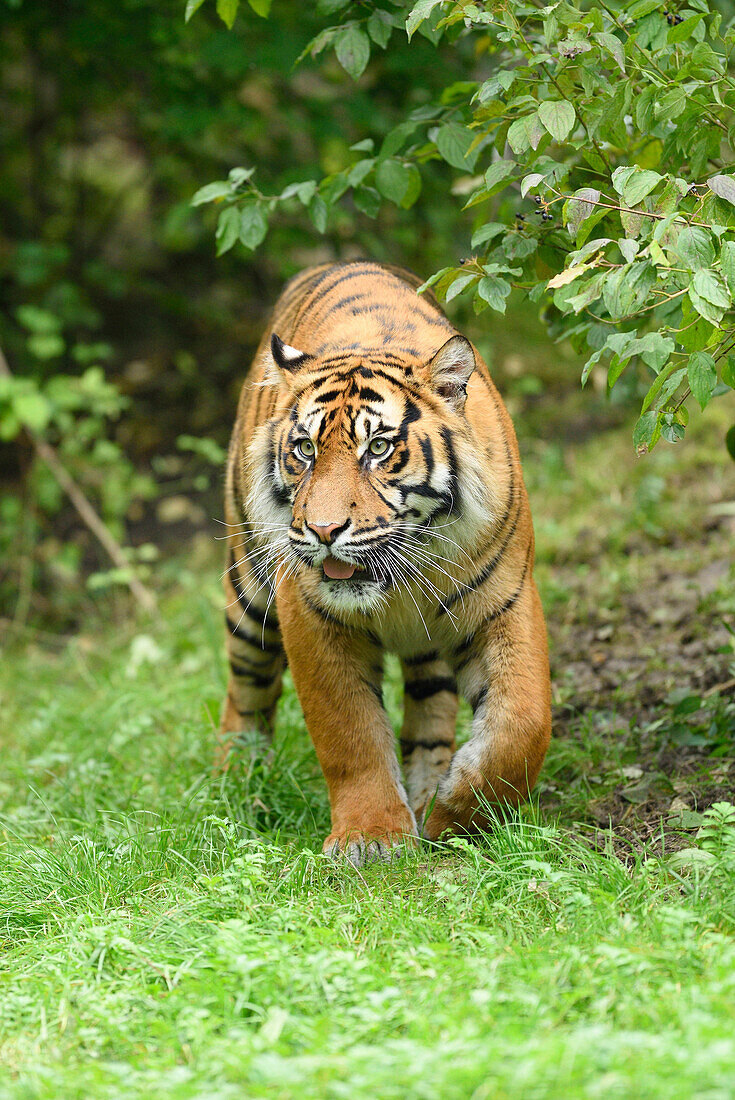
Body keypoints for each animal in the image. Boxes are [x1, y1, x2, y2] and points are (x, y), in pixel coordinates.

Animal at [217, 259, 550, 866]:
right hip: (250, 592)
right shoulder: (312, 619)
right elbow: (350, 733)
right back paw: (235, 786)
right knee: (246, 689)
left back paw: (425, 791)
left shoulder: (507, 600)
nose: (324, 531)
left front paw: (452, 814)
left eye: (378, 448)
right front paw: (370, 837)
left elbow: (521, 723)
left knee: (430, 705)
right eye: (304, 450)